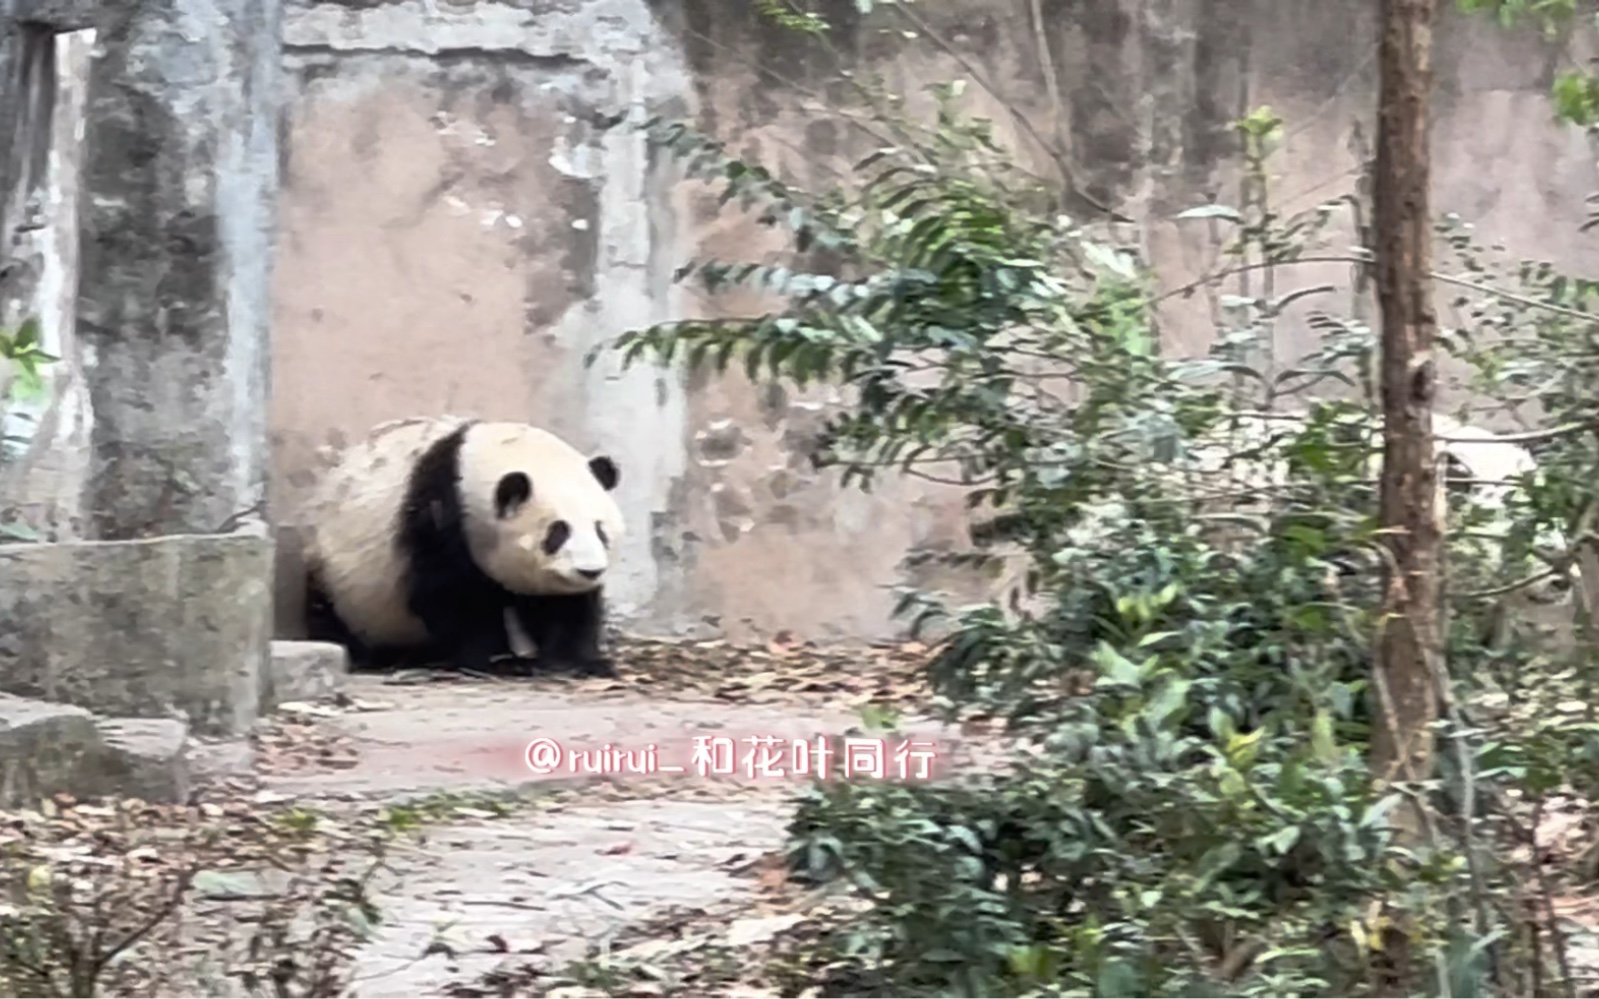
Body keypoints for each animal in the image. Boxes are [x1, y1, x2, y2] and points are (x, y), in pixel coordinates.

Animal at [302, 412, 626, 677]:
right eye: (557, 533)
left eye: (601, 531)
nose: (589, 571)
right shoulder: (438, 514)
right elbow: (450, 593)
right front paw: (500, 661)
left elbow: (565, 606)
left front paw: (577, 662)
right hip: (336, 577)